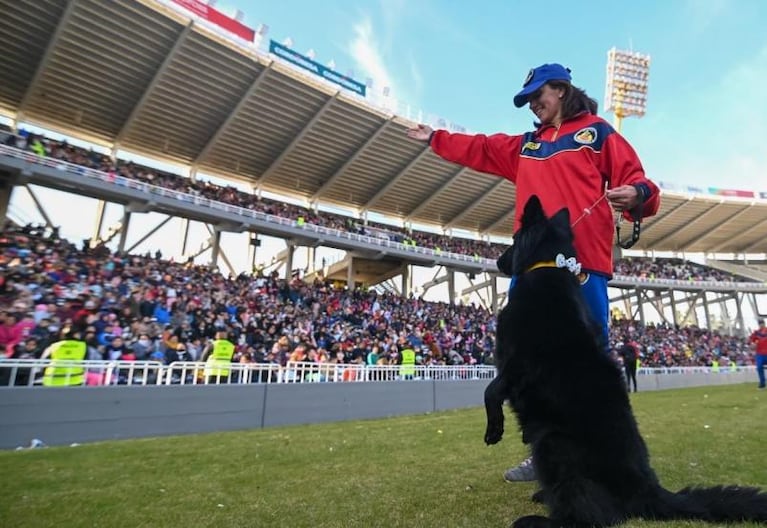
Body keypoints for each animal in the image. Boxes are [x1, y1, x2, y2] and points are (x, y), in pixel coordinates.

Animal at [486, 195, 767, 528]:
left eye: (513, 240)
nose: (497, 262)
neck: (549, 269)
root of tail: (648, 489)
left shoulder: (515, 366)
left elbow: (490, 391)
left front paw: (493, 430)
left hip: (553, 443)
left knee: (592, 515)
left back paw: (539, 520)